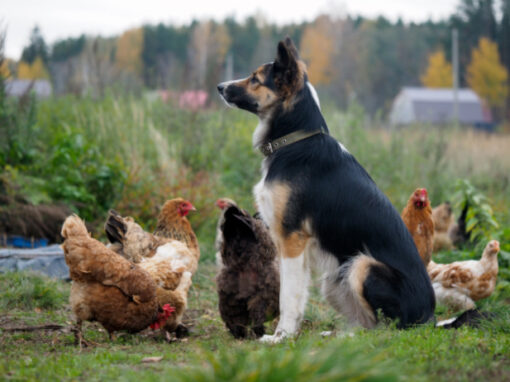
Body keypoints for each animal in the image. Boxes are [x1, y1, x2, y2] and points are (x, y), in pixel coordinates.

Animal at [217, 38, 436, 344]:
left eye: (255, 79)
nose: (220, 87)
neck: (294, 140)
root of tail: (429, 316)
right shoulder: (293, 246)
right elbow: (296, 295)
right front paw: (290, 333)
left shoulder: (292, 239)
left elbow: (287, 296)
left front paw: (281, 337)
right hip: (335, 279)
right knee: (367, 324)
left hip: (361, 267)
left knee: (386, 329)